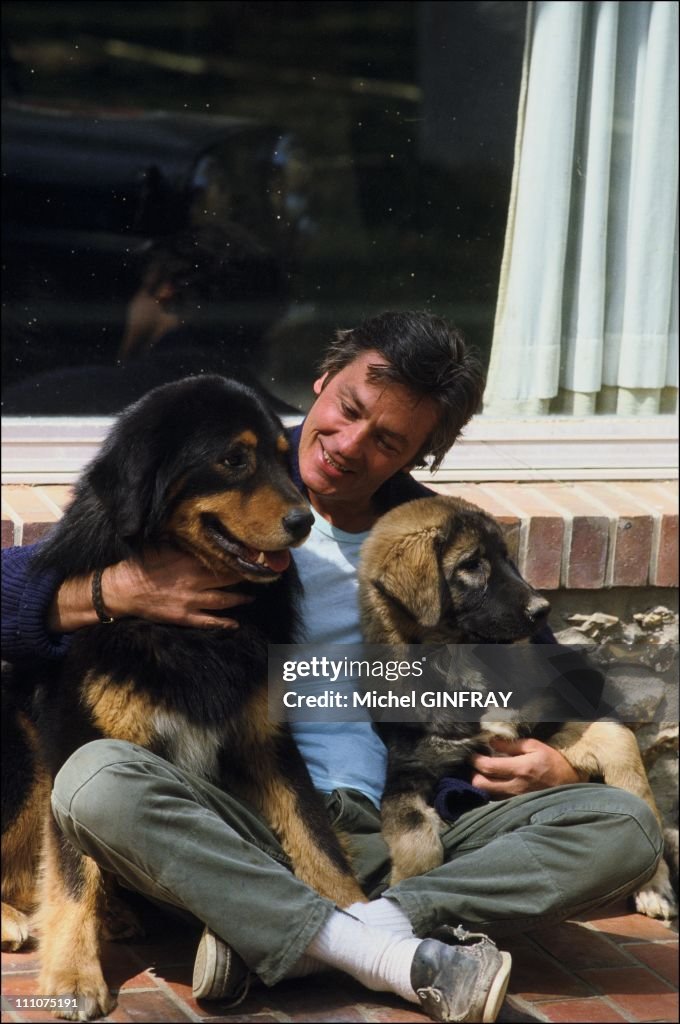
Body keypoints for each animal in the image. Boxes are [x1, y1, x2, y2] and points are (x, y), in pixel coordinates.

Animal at [1, 374, 366, 1015]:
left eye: (283, 458)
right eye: (233, 460)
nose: (302, 521)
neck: (192, 633)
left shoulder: (264, 738)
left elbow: (316, 835)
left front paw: (364, 915)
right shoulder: (77, 744)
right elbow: (70, 875)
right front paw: (72, 975)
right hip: (25, 757)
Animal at [358, 495, 675, 921]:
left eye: (507, 559)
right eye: (471, 564)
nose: (542, 610)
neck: (461, 662)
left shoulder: (552, 721)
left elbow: (633, 779)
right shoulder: (407, 772)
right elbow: (415, 837)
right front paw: (404, 889)